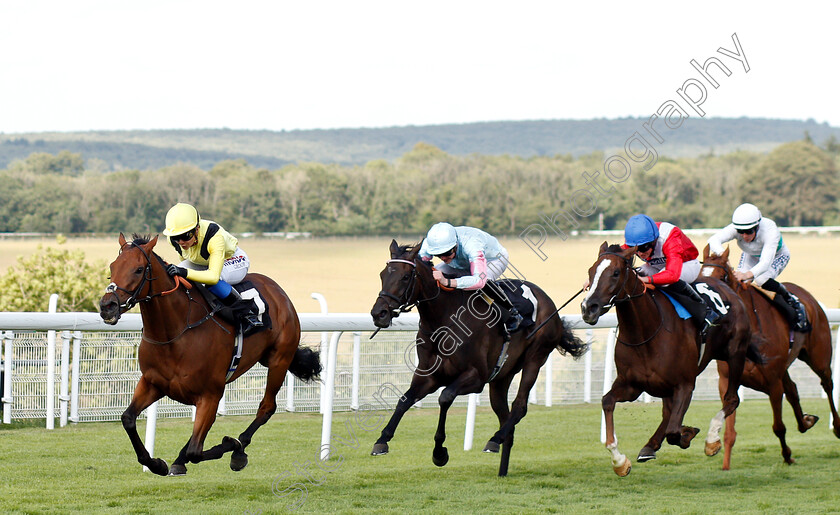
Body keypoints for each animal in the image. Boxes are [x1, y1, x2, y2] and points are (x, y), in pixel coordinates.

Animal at [98, 236, 320, 478]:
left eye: (139, 269)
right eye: (112, 267)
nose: (107, 306)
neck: (175, 332)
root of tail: (278, 291)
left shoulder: (210, 394)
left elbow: (197, 451)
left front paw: (232, 445)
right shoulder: (153, 383)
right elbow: (128, 419)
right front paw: (157, 464)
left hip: (280, 360)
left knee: (266, 407)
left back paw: (238, 449)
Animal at [370, 240, 588, 478]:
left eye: (405, 277)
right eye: (382, 275)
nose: (378, 313)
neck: (444, 321)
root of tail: (550, 304)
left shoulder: (476, 378)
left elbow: (445, 397)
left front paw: (439, 453)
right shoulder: (428, 376)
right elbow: (404, 400)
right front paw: (382, 441)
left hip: (535, 358)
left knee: (520, 406)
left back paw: (494, 440)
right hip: (501, 377)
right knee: (506, 417)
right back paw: (501, 466)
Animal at [576, 244, 756, 478]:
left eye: (615, 273)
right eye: (590, 271)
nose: (588, 308)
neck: (646, 332)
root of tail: (729, 289)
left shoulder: (685, 385)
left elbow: (673, 431)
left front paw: (690, 434)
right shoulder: (631, 385)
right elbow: (607, 402)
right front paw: (619, 461)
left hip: (734, 354)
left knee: (731, 399)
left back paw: (711, 439)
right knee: (668, 414)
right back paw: (650, 446)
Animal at [700, 244, 836, 466]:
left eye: (721, 278)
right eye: (698, 276)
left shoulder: (773, 382)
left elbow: (778, 426)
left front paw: (787, 456)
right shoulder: (727, 380)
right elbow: (730, 431)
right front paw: (721, 458)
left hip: (819, 357)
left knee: (827, 385)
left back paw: (837, 427)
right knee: (793, 389)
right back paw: (806, 421)